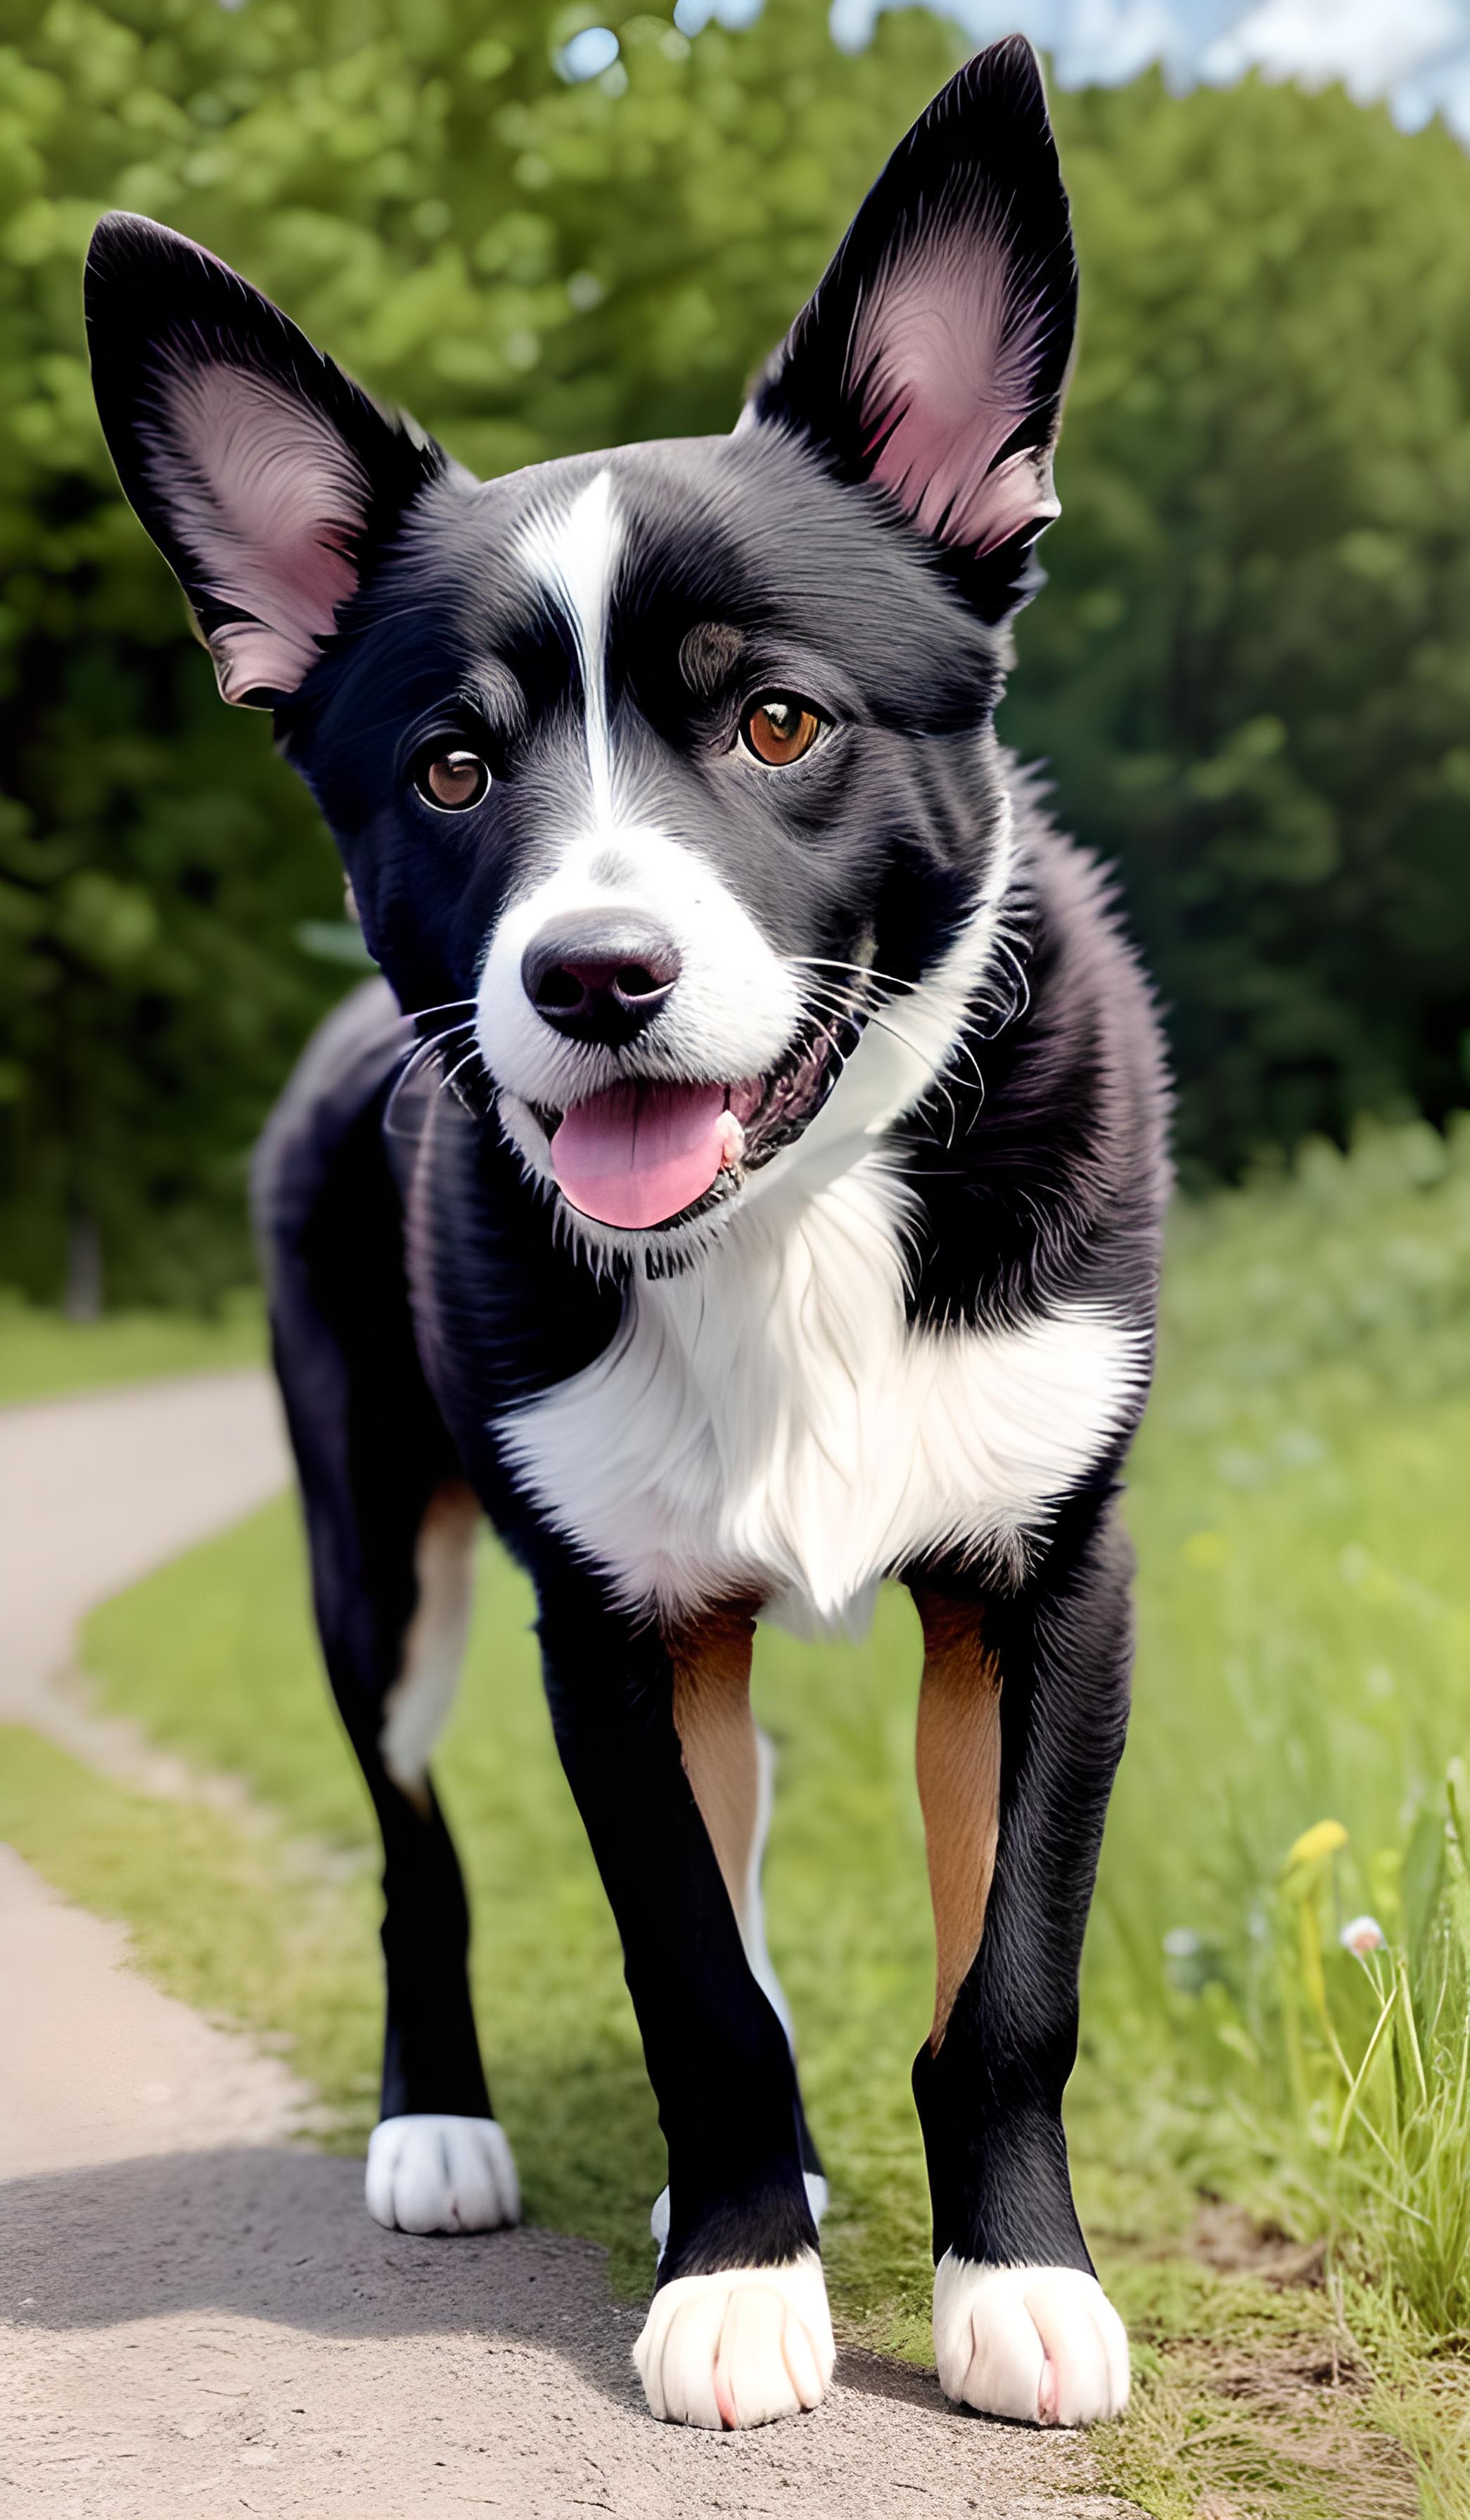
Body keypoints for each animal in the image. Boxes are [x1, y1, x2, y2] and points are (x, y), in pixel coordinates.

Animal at [89, 34, 1175, 2439]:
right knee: (420, 1851)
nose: (594, 977)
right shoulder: (603, 1624)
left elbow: (1008, 1967)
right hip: (377, 1556)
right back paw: (443, 2122)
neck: (790, 1232)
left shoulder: (1049, 1581)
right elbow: (689, 1970)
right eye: (451, 768)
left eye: (773, 719)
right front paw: (745, 2275)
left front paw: (1012, 2279)